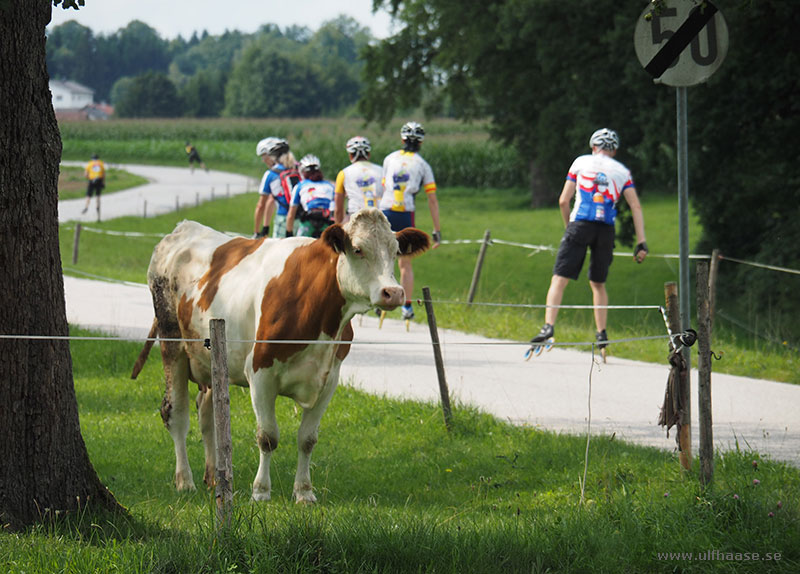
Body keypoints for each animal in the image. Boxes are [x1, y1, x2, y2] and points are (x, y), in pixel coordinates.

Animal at [131, 208, 432, 504]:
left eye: (395, 251)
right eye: (358, 249)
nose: (393, 293)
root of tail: (183, 227)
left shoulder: (329, 379)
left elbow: (307, 439)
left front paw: (304, 492)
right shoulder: (260, 374)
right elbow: (267, 437)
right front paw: (261, 491)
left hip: (212, 356)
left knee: (208, 415)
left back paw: (215, 477)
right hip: (172, 342)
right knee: (175, 413)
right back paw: (185, 481)